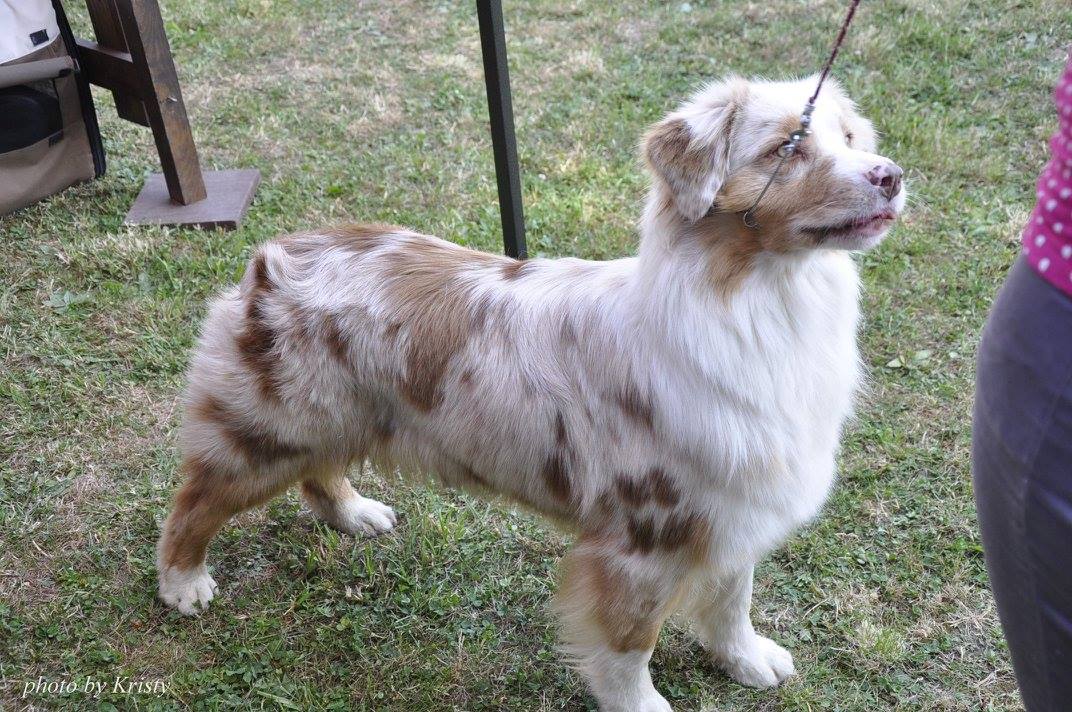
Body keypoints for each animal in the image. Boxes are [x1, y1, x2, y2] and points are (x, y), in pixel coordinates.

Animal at [157, 75, 904, 711]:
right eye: (787, 148)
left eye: (849, 138)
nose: (891, 176)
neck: (765, 302)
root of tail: (275, 256)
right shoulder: (641, 539)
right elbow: (630, 645)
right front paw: (642, 703)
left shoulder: (734, 503)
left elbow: (731, 598)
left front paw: (746, 659)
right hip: (268, 432)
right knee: (194, 501)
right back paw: (182, 582)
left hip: (339, 416)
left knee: (319, 473)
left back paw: (353, 513)